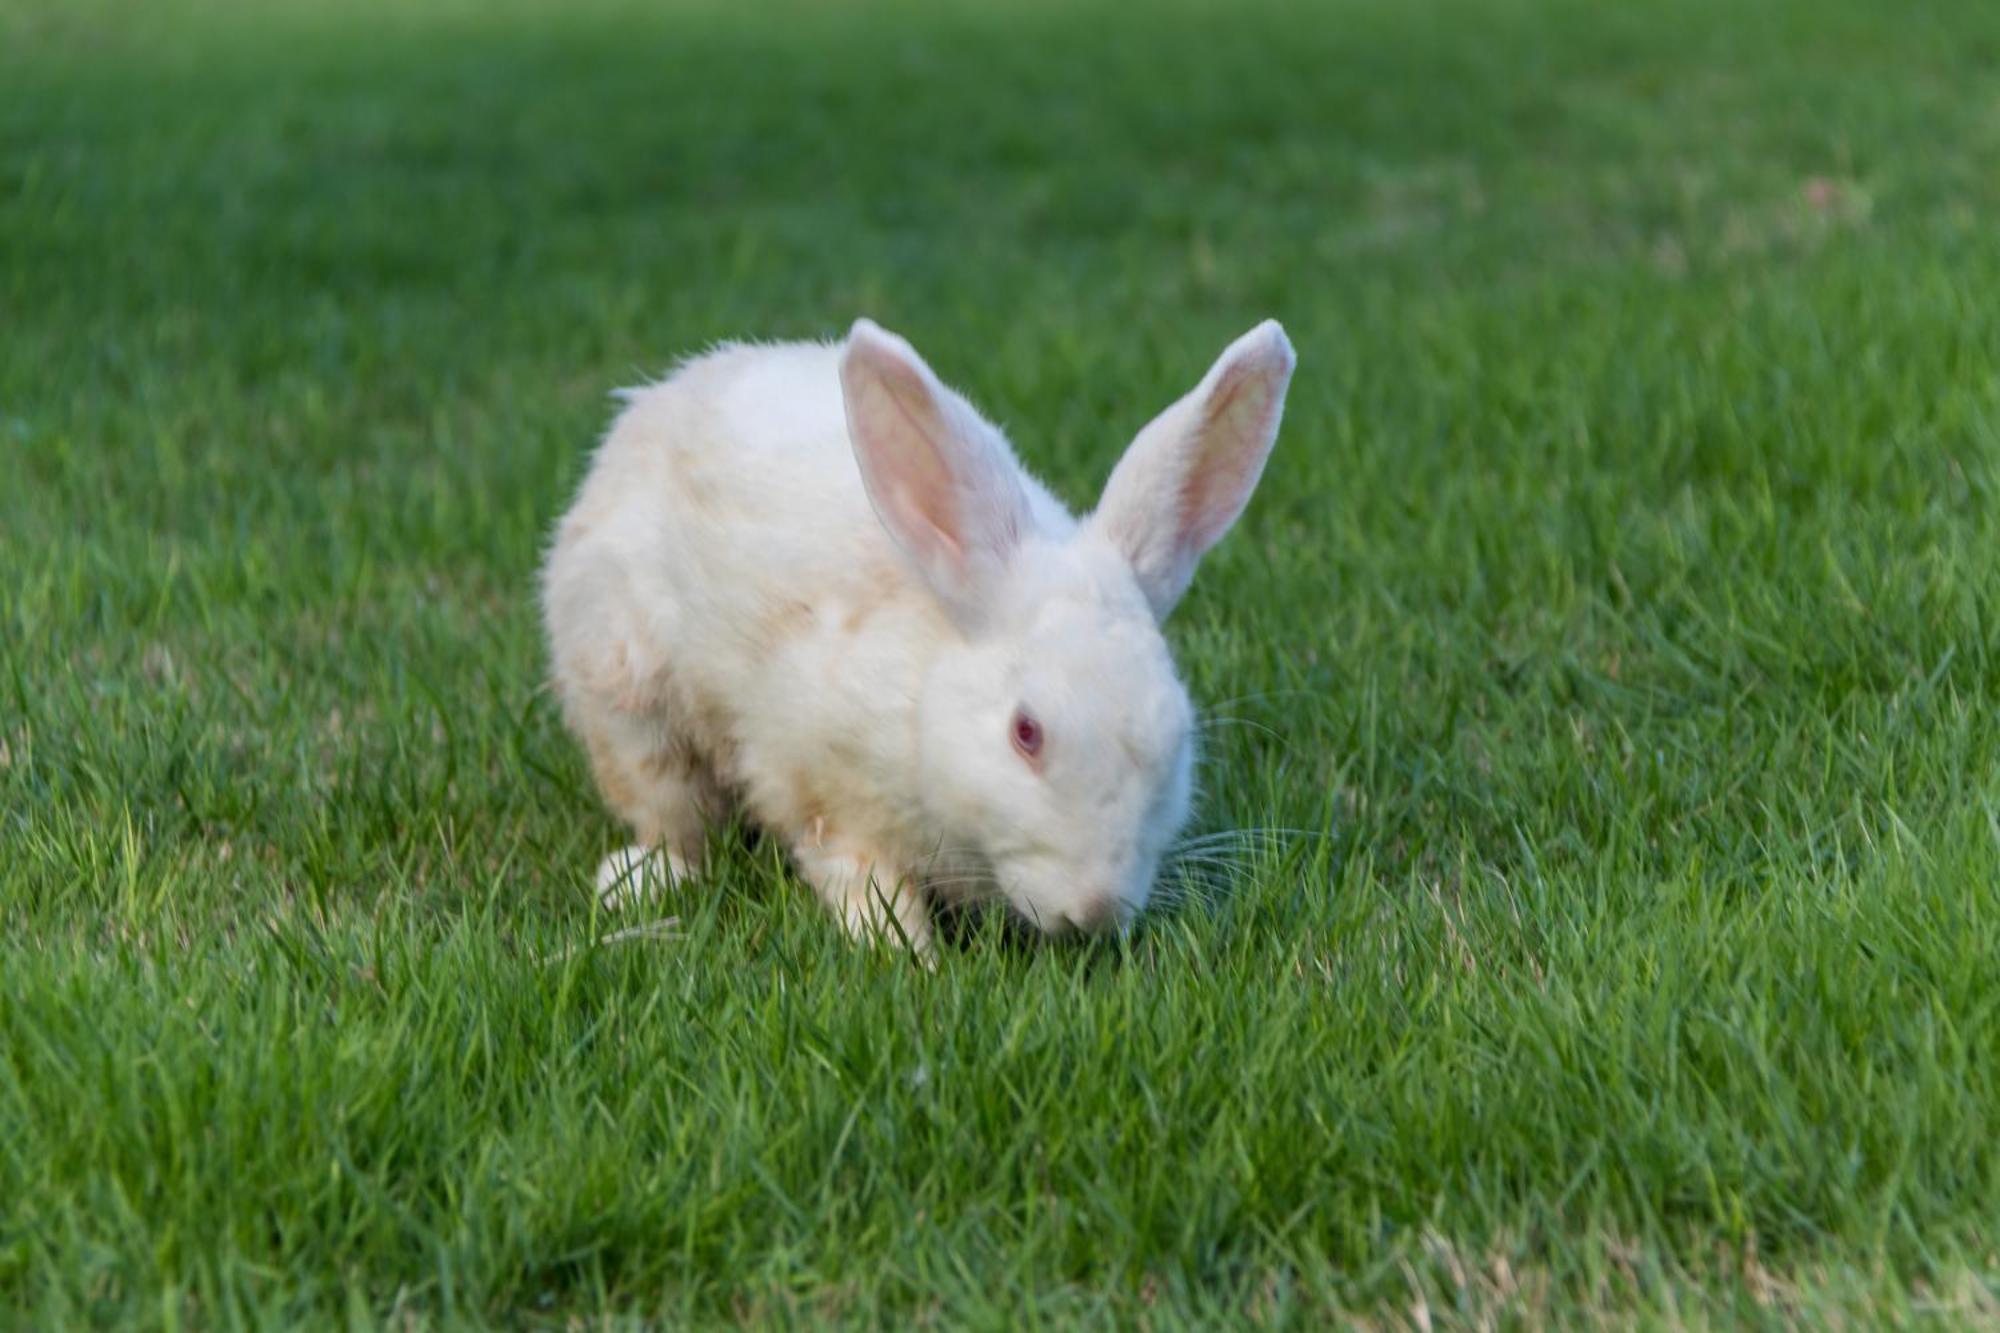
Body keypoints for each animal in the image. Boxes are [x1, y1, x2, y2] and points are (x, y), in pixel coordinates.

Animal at [548, 316, 1296, 948]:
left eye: (1177, 735)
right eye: (1025, 732)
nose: (1096, 911)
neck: (922, 705)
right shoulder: (820, 788)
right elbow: (862, 878)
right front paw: (906, 955)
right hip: (629, 702)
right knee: (675, 822)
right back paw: (633, 883)